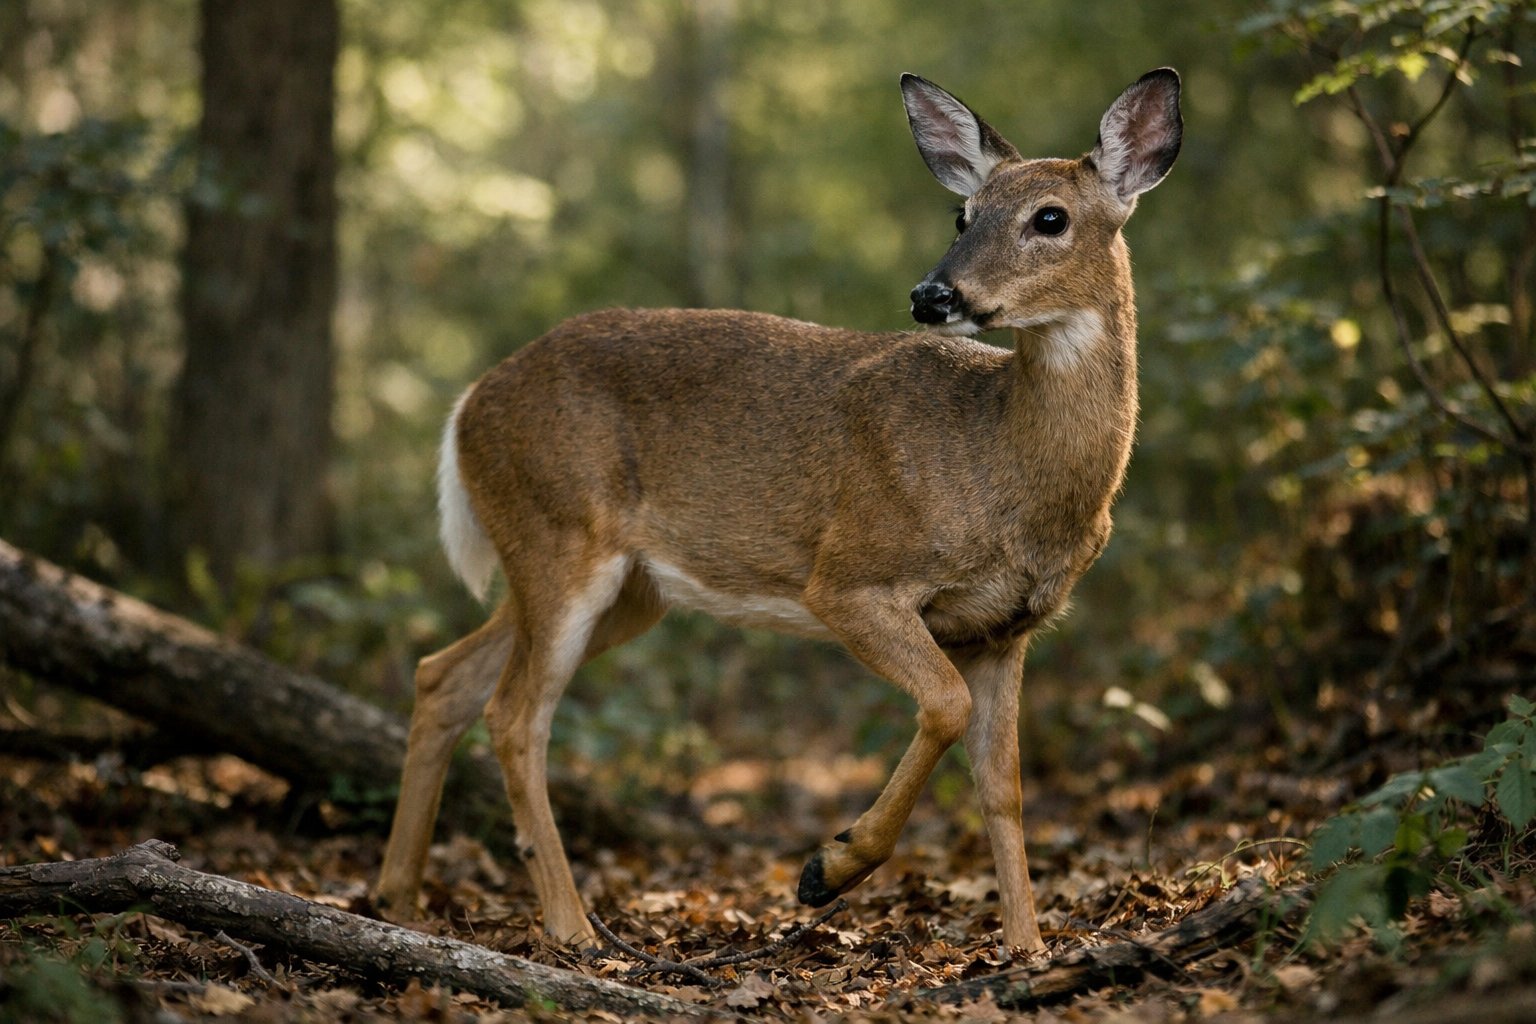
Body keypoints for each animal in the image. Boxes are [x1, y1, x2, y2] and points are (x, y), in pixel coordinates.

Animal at [373, 68, 1182, 955]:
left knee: (444, 675)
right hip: (560, 535)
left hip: (618, 585)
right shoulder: (852, 575)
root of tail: (466, 407)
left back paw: (396, 897)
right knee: (516, 715)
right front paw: (829, 867)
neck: (1002, 462)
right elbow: (943, 703)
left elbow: (1003, 787)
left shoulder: (1007, 629)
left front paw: (1028, 949)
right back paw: (571, 927)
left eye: (1051, 217)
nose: (933, 294)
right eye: (961, 214)